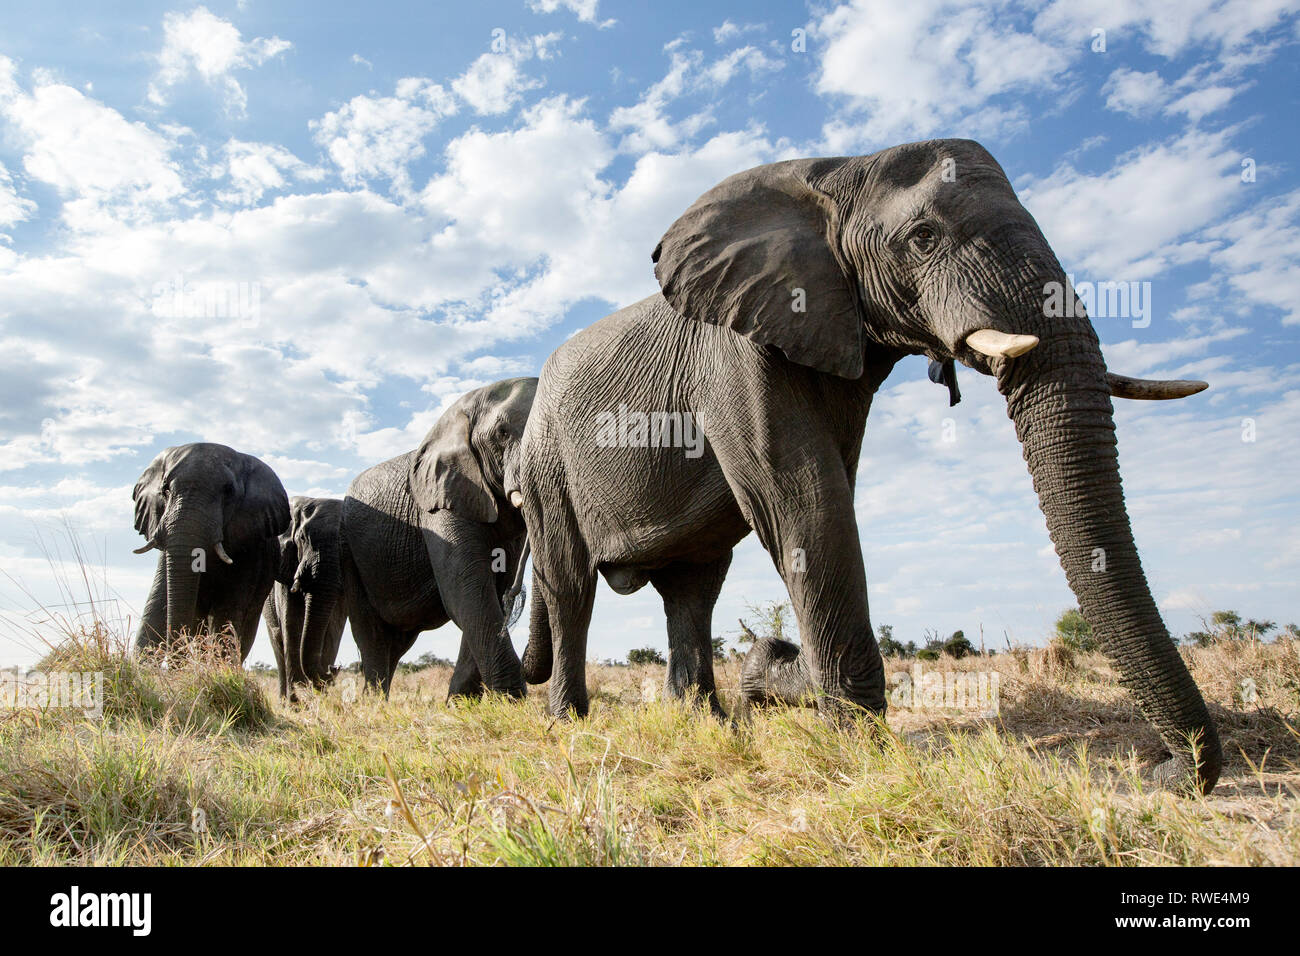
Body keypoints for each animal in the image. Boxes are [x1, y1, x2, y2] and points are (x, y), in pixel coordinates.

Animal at [263, 496, 348, 697]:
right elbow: (292, 624)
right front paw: (299, 698)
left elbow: (333, 627)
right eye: (302, 538)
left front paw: (321, 695)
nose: (334, 668)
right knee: (278, 644)